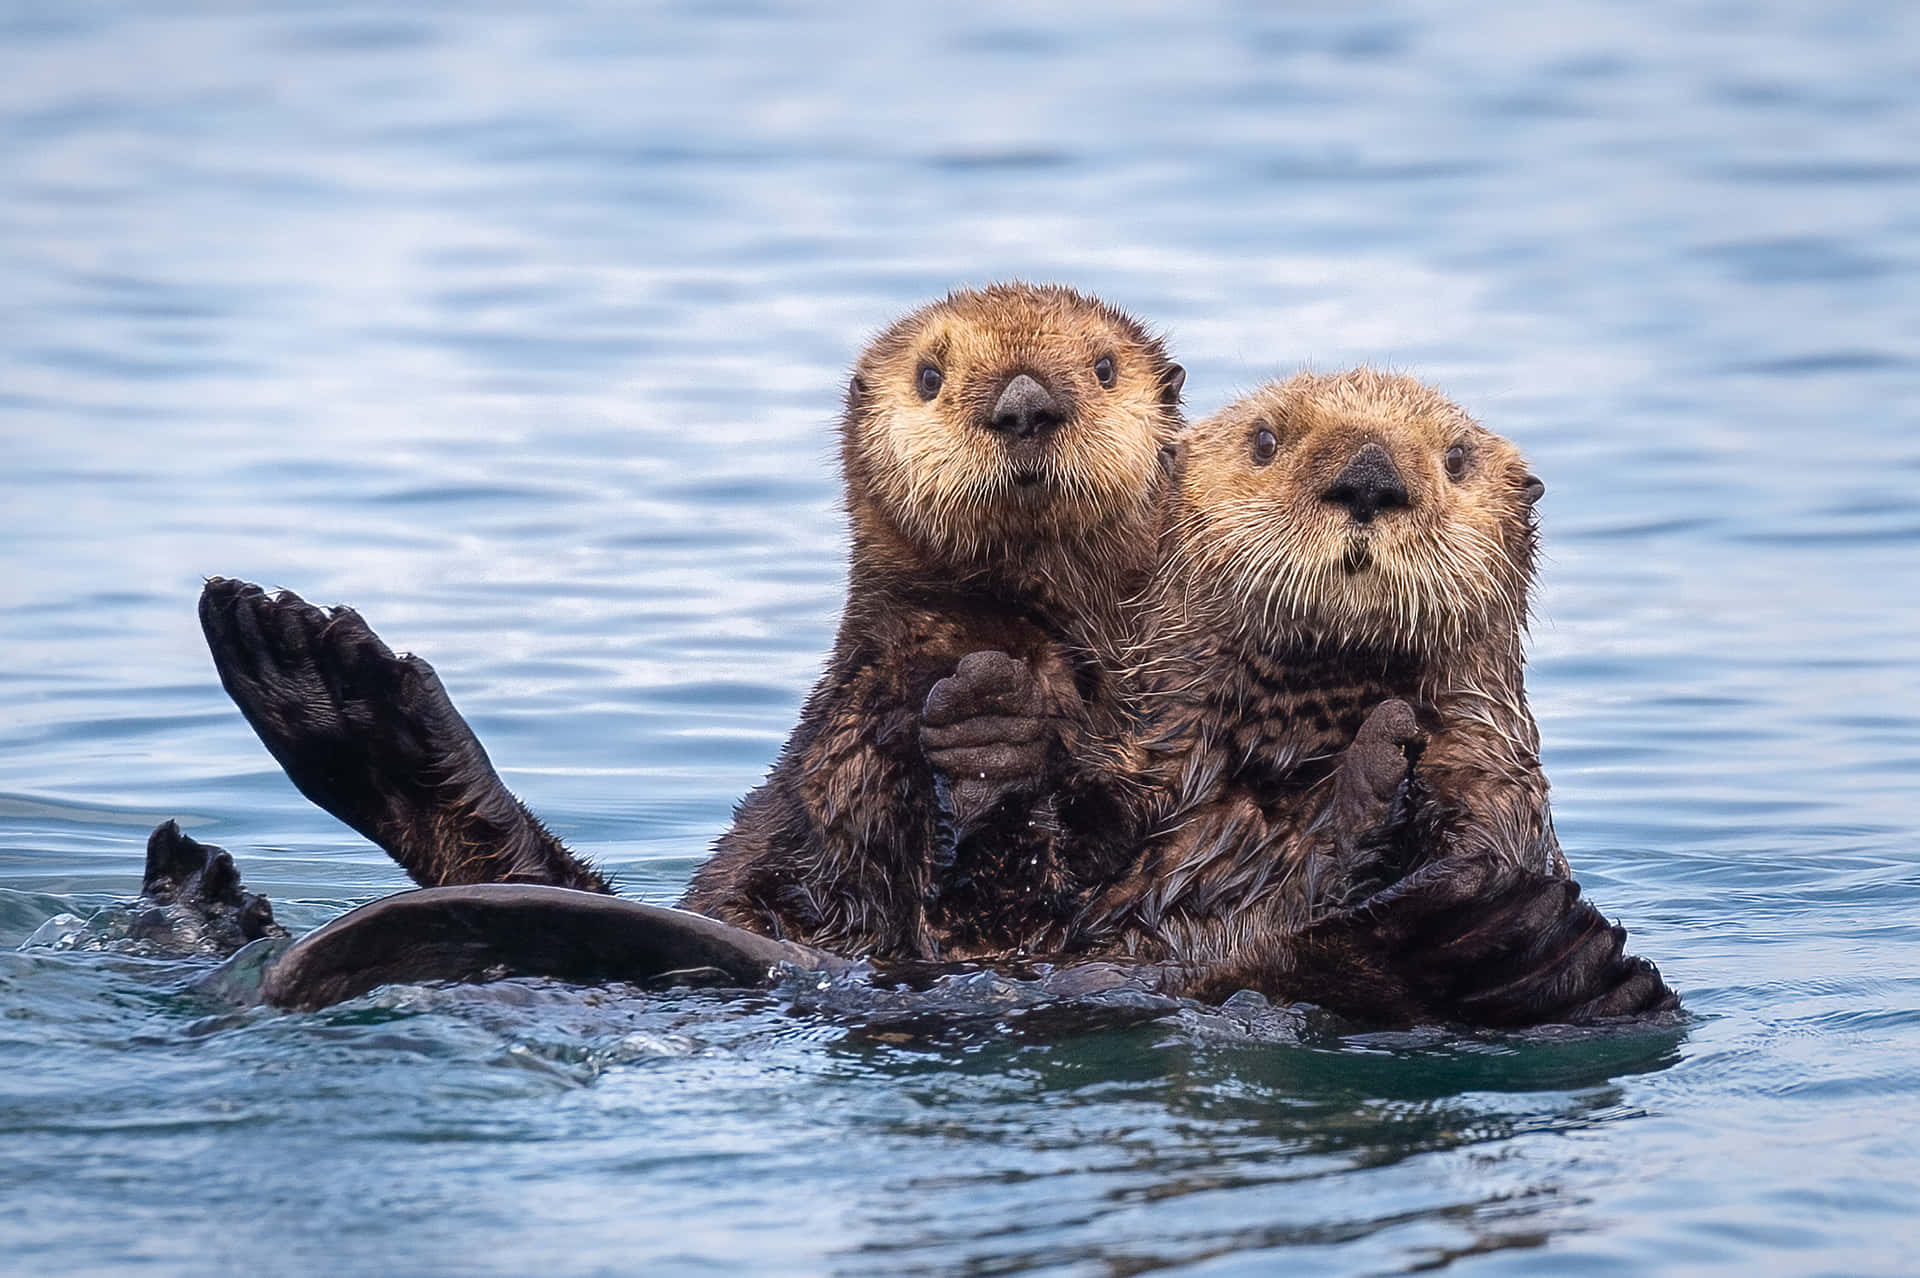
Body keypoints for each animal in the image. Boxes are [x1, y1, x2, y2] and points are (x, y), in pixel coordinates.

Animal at [198, 282, 1182, 955]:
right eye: (930, 376)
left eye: (1104, 368)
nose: (1025, 405)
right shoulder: (850, 738)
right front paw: (990, 726)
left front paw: (998, 727)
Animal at [921, 368, 1674, 1028]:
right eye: (1264, 440)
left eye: (1457, 458)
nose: (1370, 480)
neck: (1295, 746)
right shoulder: (1147, 778)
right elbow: (1000, 920)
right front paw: (994, 729)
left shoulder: (1490, 783)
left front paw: (1381, 771)